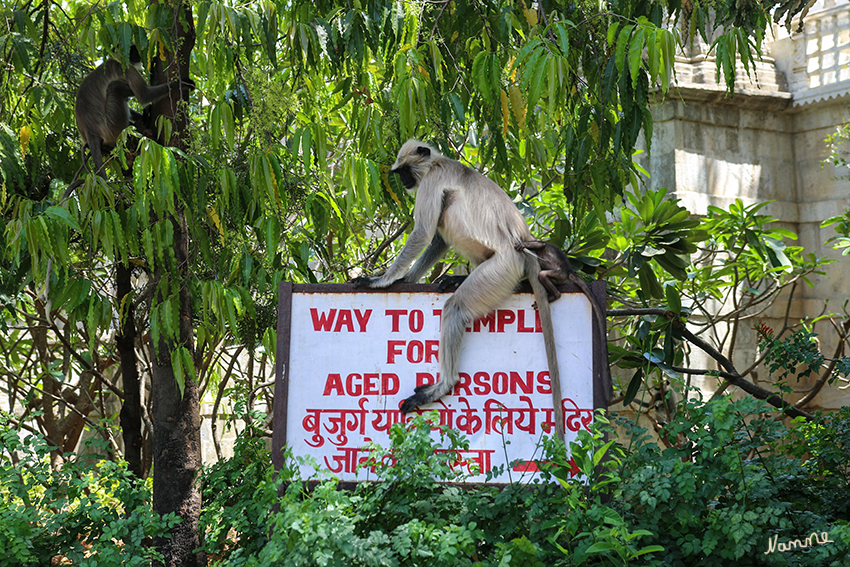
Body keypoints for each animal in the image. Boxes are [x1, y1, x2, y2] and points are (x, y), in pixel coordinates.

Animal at [64, 43, 194, 197]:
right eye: (133, 51)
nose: (138, 56)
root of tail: (89, 132)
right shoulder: (124, 68)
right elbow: (144, 95)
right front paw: (181, 83)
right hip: (112, 126)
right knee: (115, 87)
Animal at [354, 140, 568, 442]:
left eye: (405, 170)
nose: (404, 181)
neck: (438, 163)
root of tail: (525, 247)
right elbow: (437, 239)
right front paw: (406, 278)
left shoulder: (432, 180)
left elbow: (423, 231)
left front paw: (381, 281)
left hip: (502, 268)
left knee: (455, 305)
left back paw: (443, 386)